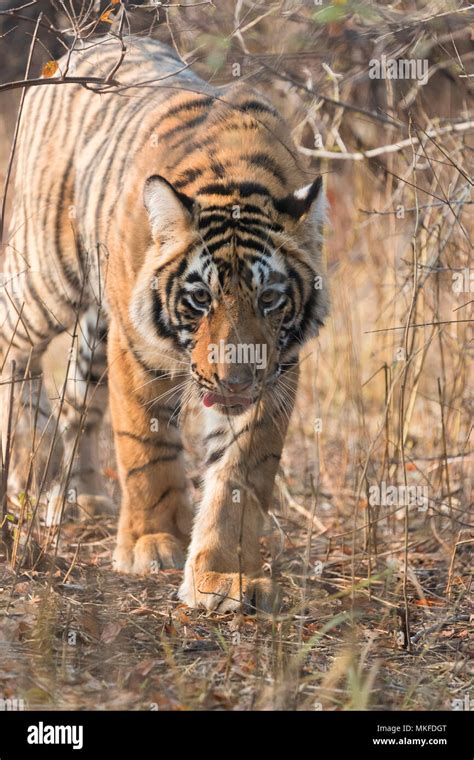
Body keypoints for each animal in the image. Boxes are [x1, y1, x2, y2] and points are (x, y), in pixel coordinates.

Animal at [0, 35, 328, 616]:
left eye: (269, 299)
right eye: (199, 299)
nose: (234, 381)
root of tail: (76, 49)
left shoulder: (278, 372)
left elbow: (240, 476)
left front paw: (223, 577)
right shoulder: (136, 349)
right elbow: (145, 449)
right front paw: (153, 544)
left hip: (95, 326)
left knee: (79, 402)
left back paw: (79, 495)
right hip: (47, 276)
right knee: (13, 345)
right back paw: (29, 466)